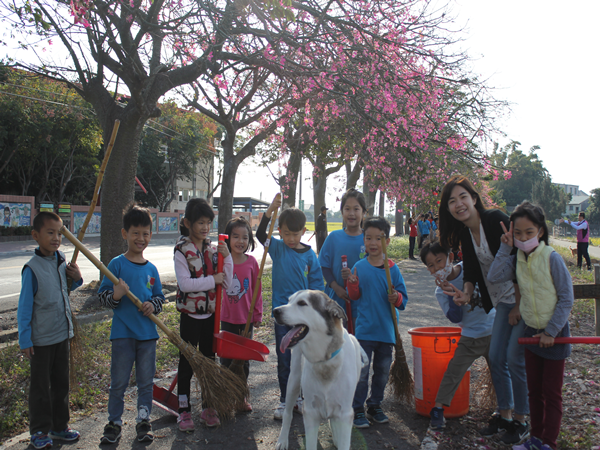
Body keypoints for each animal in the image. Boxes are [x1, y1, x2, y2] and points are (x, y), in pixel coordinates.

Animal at [274, 290, 366, 448]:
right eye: (289, 300)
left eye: (302, 303)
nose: (275, 311)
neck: (325, 361)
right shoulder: (310, 413)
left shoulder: (345, 414)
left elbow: (343, 438)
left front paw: (339, 439)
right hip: (294, 381)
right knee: (287, 413)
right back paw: (282, 440)